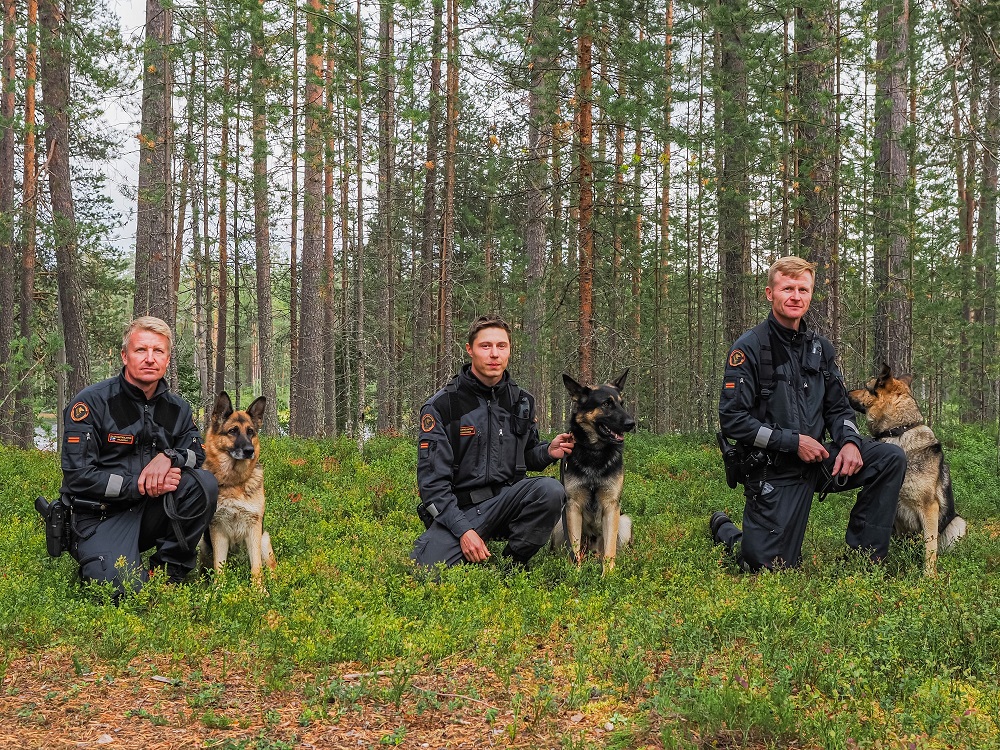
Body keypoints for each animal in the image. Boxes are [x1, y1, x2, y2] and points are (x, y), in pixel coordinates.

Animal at [201, 390, 276, 592]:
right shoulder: (217, 530)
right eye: (233, 431)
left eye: (250, 432)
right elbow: (219, 565)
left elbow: (256, 566)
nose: (249, 451)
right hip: (204, 544)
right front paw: (217, 591)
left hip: (264, 540)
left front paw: (259, 591)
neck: (234, 482)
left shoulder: (254, 528)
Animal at [552, 370, 636, 576]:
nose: (632, 423)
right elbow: (573, 547)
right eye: (606, 403)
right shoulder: (572, 506)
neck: (594, 452)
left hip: (625, 521)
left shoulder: (611, 506)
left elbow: (610, 550)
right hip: (559, 523)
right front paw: (576, 574)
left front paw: (608, 576)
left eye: (622, 403)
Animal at [848, 364, 964, 576]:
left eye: (867, 387)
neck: (898, 431)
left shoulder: (929, 508)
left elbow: (930, 548)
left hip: (958, 523)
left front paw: (929, 577)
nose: (846, 391)